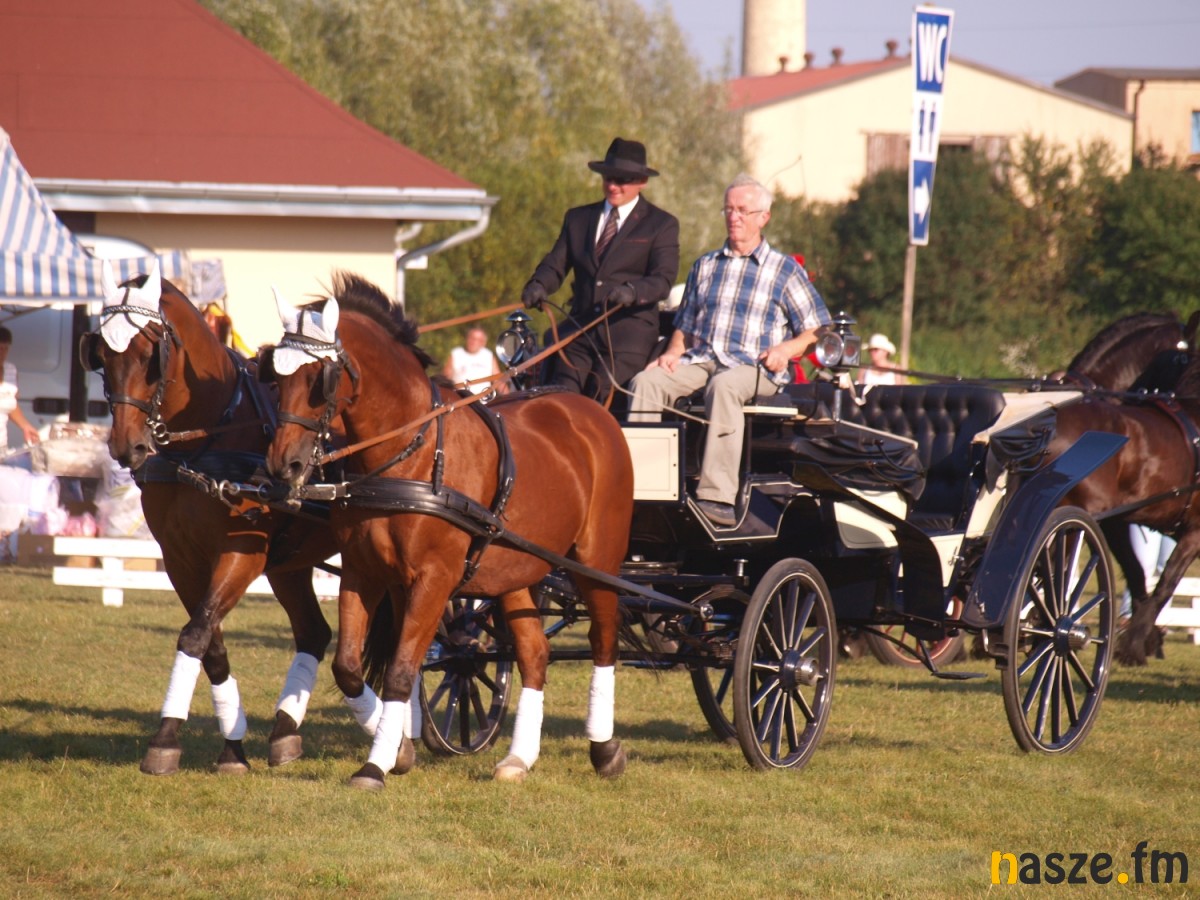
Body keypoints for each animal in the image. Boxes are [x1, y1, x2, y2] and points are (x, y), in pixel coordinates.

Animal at [82, 262, 345, 775]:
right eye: (100, 353)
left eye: (150, 353)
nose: (127, 447)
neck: (208, 439)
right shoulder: (181, 558)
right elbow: (211, 645)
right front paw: (232, 747)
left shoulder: (241, 553)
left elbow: (196, 633)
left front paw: (165, 739)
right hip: (292, 562)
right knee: (314, 631)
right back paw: (286, 731)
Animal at [260, 273, 635, 790]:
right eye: (274, 374)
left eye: (322, 378)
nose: (286, 465)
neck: (409, 454)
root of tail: (593, 410)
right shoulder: (364, 572)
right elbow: (351, 667)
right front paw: (398, 748)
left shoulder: (435, 578)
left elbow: (400, 671)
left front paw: (376, 765)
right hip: (514, 571)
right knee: (535, 652)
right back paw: (519, 758)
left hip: (596, 561)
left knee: (603, 640)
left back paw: (605, 750)